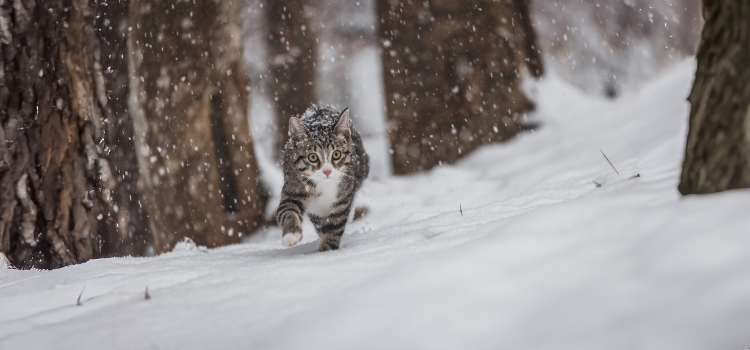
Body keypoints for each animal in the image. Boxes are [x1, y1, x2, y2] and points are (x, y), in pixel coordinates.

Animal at [276, 104, 370, 252]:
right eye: (313, 157)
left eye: (336, 154)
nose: (327, 171)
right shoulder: (293, 188)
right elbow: (288, 210)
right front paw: (291, 235)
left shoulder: (342, 199)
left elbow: (334, 227)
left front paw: (325, 251)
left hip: (362, 164)